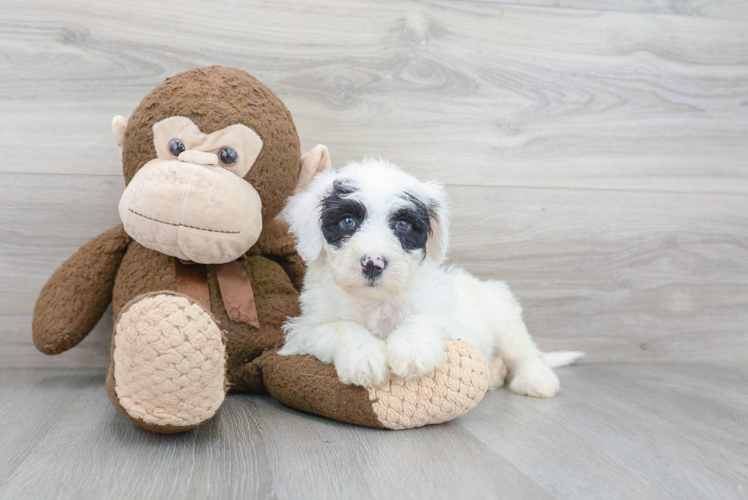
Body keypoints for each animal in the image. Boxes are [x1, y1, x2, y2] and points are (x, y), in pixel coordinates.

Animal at [280, 158, 584, 396]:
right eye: (347, 221)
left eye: (403, 225)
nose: (373, 263)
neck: (376, 300)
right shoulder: (306, 329)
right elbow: (341, 327)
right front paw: (364, 357)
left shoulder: (448, 321)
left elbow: (424, 319)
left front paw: (412, 349)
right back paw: (495, 375)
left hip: (503, 317)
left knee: (526, 353)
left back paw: (536, 379)